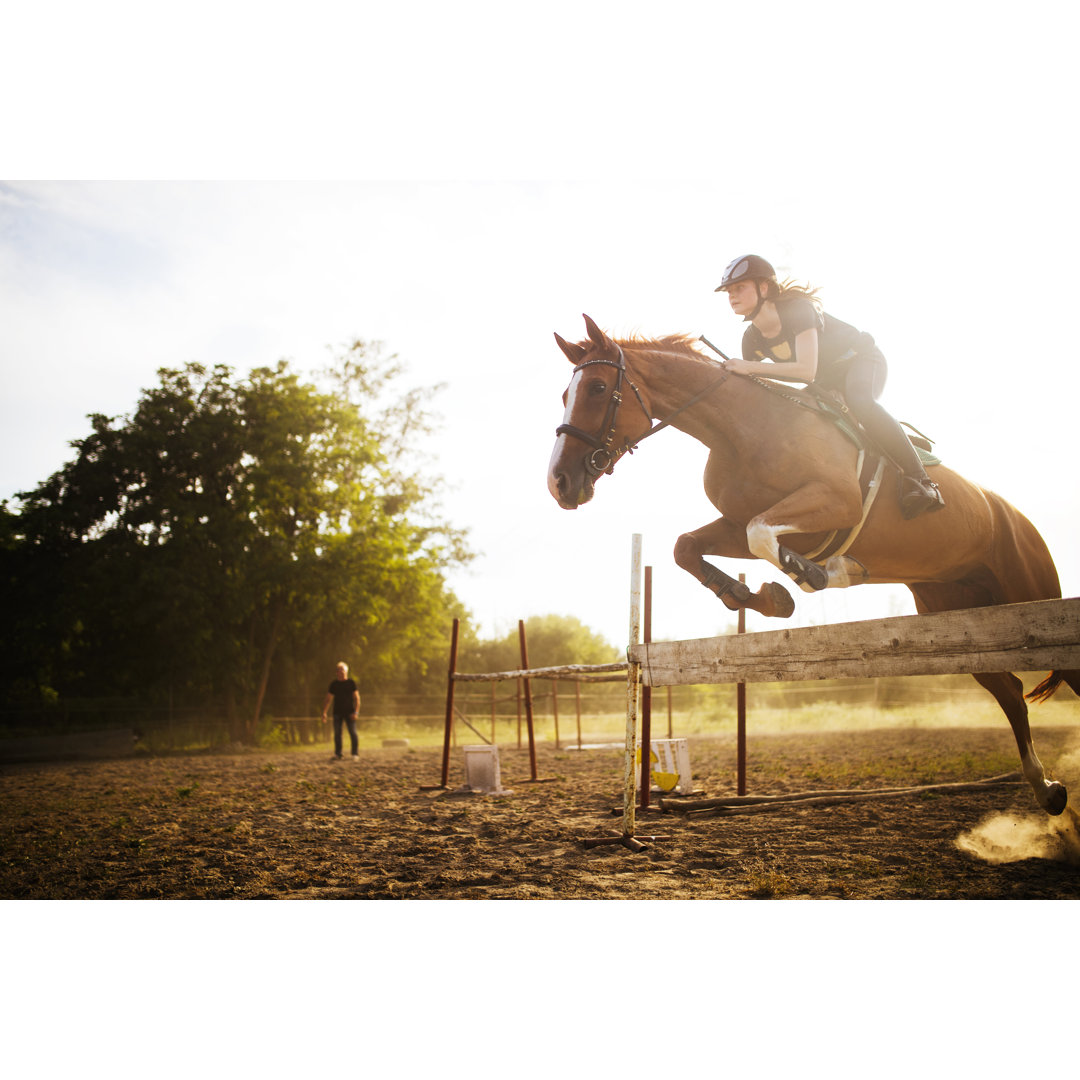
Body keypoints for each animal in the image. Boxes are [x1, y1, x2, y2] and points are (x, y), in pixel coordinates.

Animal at [548, 315, 1080, 812]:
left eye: (598, 389)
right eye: (565, 393)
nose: (559, 483)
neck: (742, 428)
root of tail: (1014, 515)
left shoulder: (833, 503)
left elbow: (764, 535)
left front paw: (820, 575)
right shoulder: (746, 524)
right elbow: (692, 546)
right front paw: (756, 596)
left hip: (1030, 595)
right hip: (952, 612)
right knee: (1009, 690)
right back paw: (1046, 789)